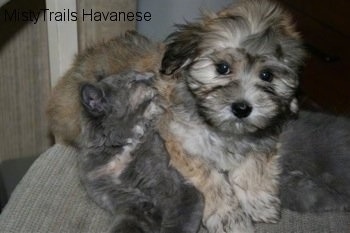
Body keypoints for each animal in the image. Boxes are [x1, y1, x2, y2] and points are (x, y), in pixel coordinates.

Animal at [76, 71, 202, 233]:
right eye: (133, 81)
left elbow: (176, 225)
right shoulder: (130, 205)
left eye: (141, 74)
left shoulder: (176, 190)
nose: (153, 75)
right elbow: (125, 226)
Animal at [157, 0, 304, 232]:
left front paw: (258, 202)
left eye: (267, 75)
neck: (227, 131)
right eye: (223, 68)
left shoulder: (263, 141)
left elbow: (253, 166)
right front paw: (230, 217)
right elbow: (210, 178)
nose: (242, 108)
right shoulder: (182, 141)